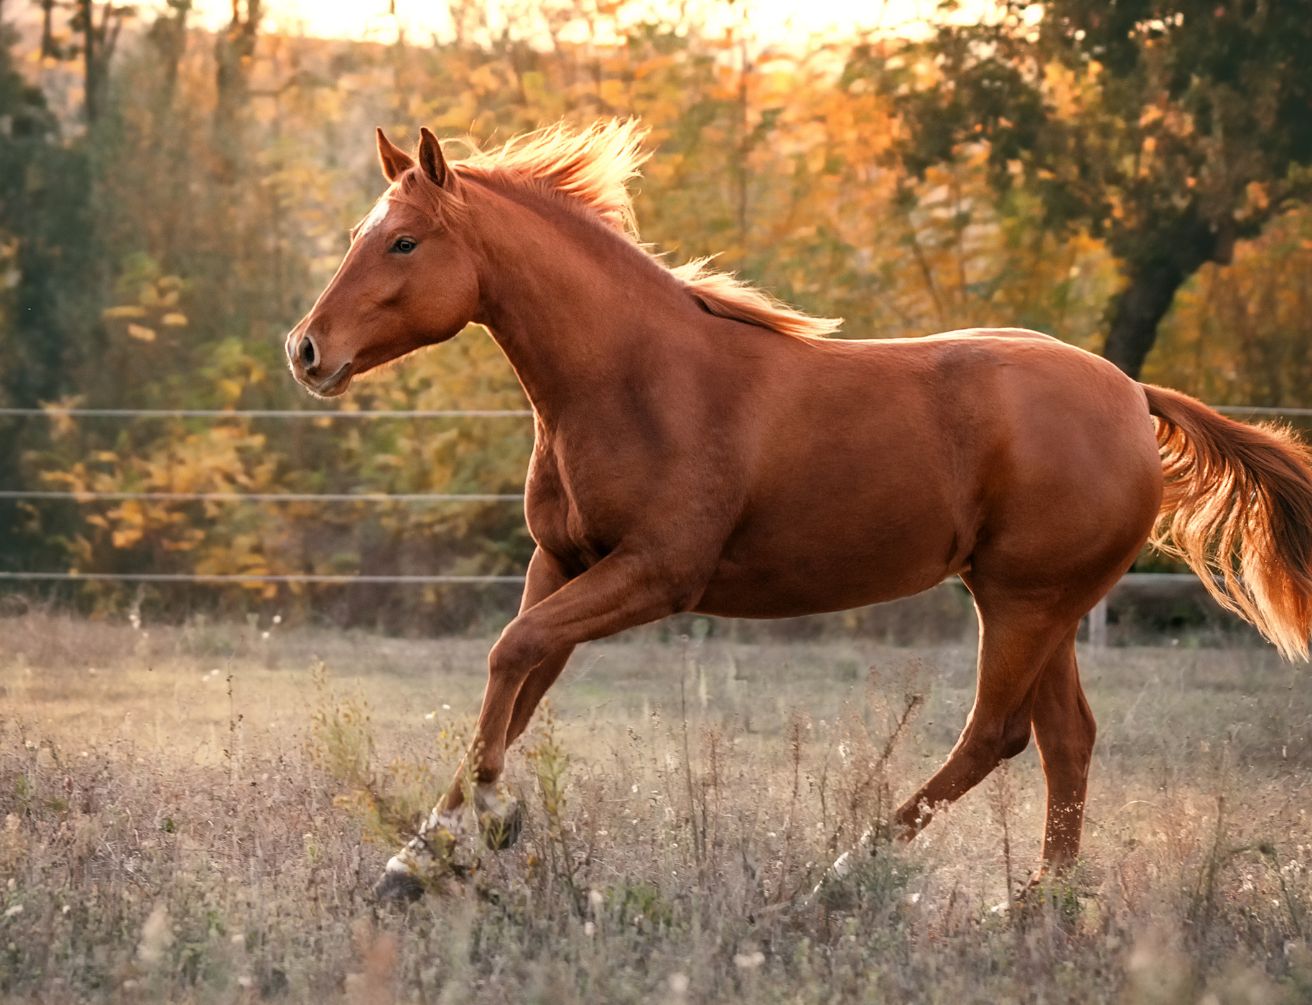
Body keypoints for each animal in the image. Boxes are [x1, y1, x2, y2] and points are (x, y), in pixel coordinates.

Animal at [284, 119, 1312, 902]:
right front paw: (416, 858)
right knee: (1065, 739)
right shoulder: (563, 563)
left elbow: (511, 654)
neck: (635, 379)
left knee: (997, 734)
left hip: (1025, 600)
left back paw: (844, 874)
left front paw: (485, 824)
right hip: (1036, 602)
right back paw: (1034, 907)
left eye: (404, 241)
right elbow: (517, 683)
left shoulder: (657, 575)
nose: (306, 350)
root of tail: (1134, 395)